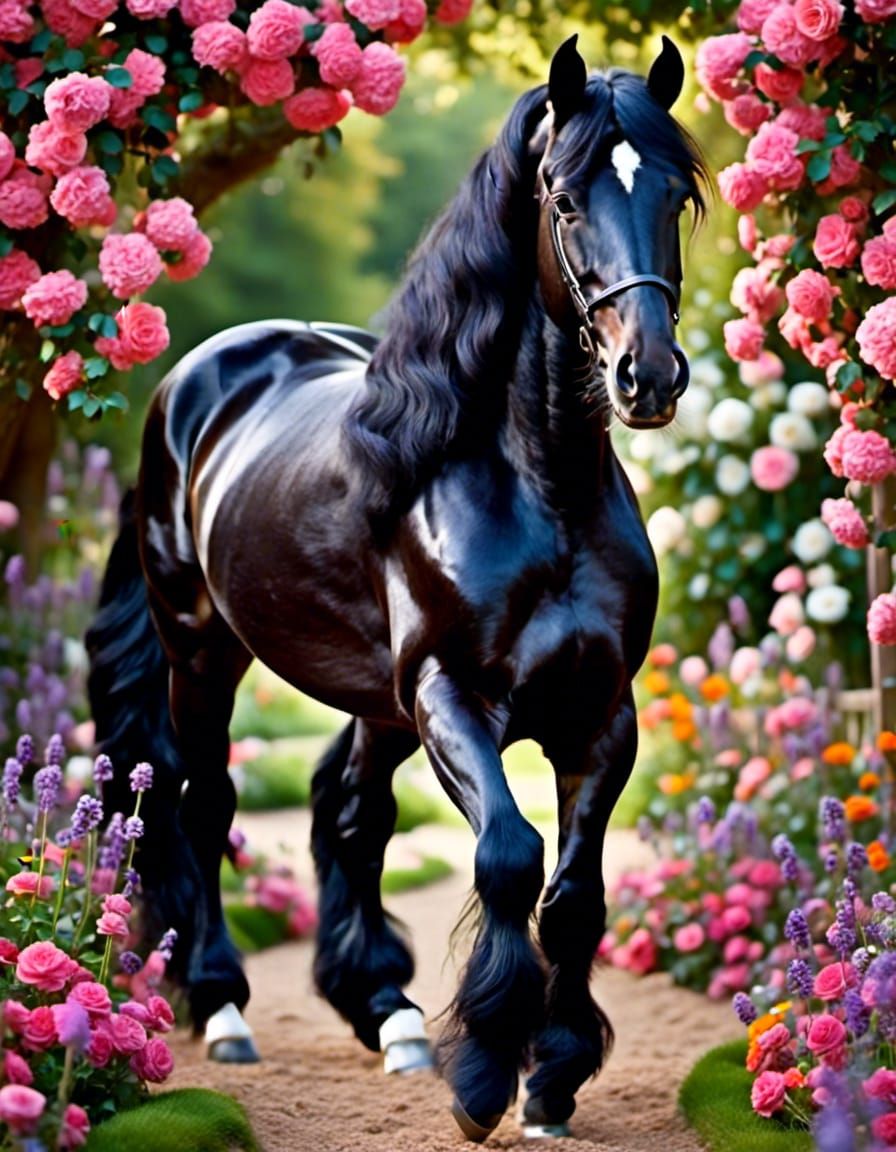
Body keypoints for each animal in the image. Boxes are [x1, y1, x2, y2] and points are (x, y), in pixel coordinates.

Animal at [85, 34, 706, 1141]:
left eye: (675, 195)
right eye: (562, 199)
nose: (649, 376)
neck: (538, 484)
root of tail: (195, 382)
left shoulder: (601, 716)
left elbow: (573, 896)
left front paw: (551, 1079)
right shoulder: (451, 694)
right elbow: (508, 855)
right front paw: (485, 1077)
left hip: (375, 701)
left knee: (349, 810)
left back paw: (390, 1014)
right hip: (203, 650)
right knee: (205, 803)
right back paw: (224, 1006)